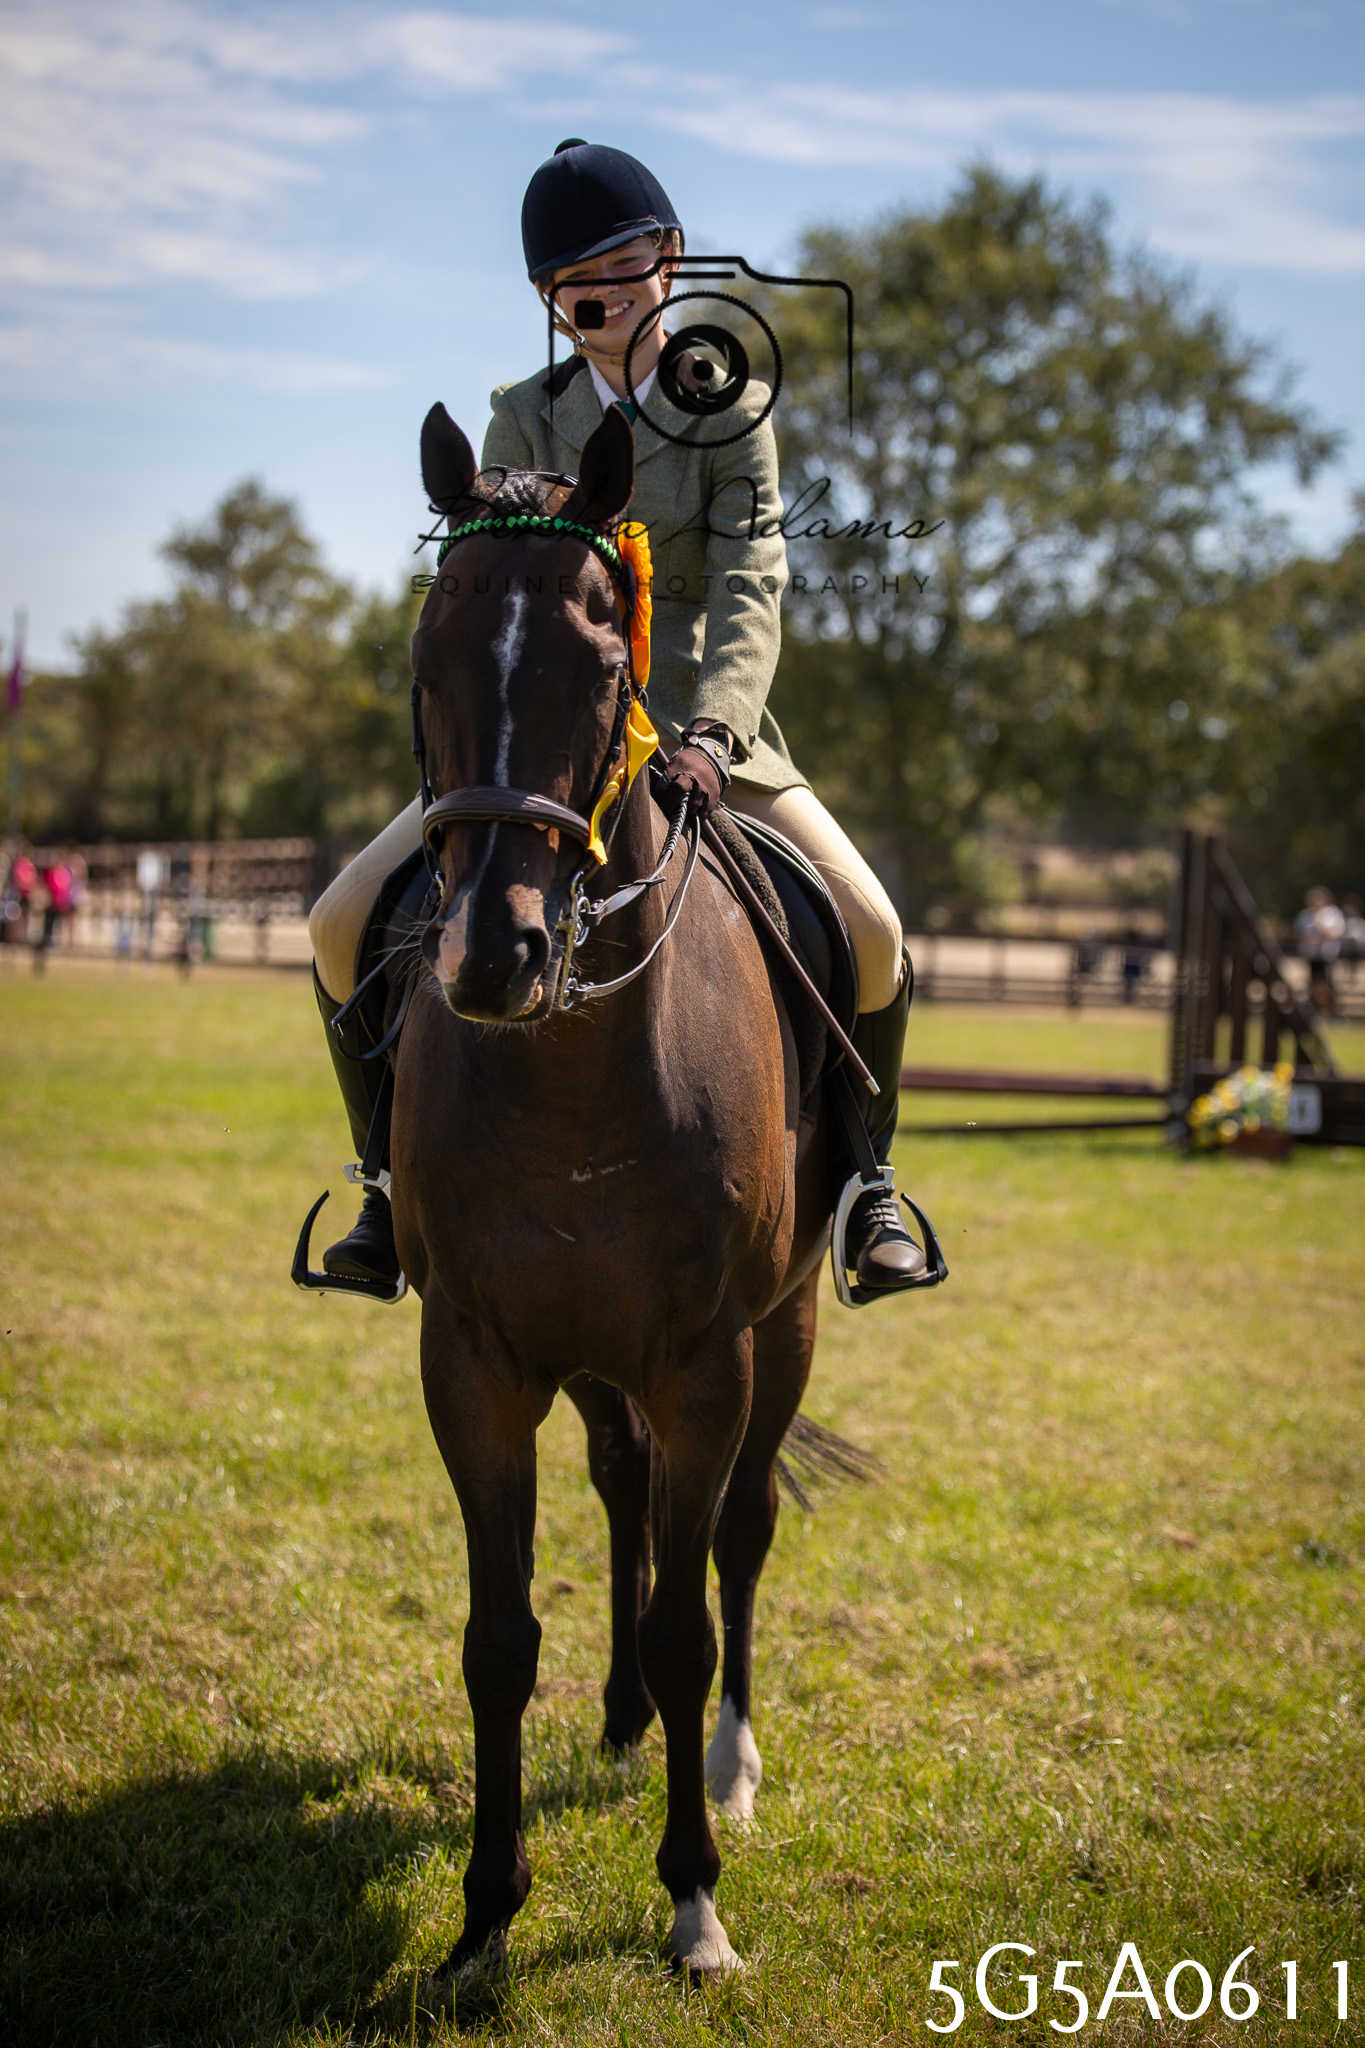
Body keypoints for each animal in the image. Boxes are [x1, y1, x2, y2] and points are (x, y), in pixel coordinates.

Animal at [392, 400, 841, 1983]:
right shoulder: (474, 1359)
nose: (491, 955)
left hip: (782, 1330)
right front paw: (481, 1921)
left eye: (600, 668)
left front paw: (695, 1903)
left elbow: (688, 1620)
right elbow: (496, 1637)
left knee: (738, 1536)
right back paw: (621, 1722)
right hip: (592, 1361)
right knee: (628, 1493)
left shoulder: (707, 1358)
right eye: (427, 657)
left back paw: (725, 1765)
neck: (576, 1059)